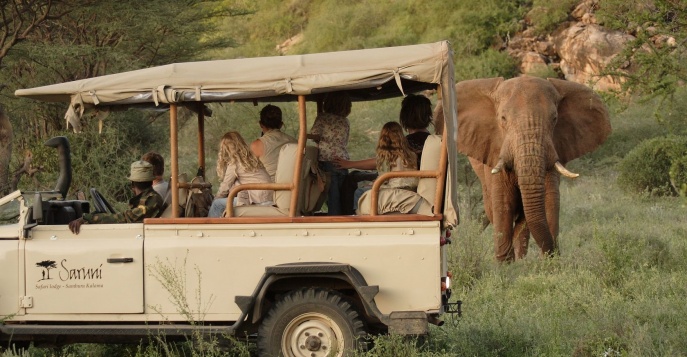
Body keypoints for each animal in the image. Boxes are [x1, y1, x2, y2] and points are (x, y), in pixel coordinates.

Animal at [436, 76, 612, 260]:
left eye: (554, 119)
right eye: (503, 119)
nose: (553, 254)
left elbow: (550, 199)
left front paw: (549, 263)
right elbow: (503, 203)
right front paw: (506, 264)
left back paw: (521, 258)